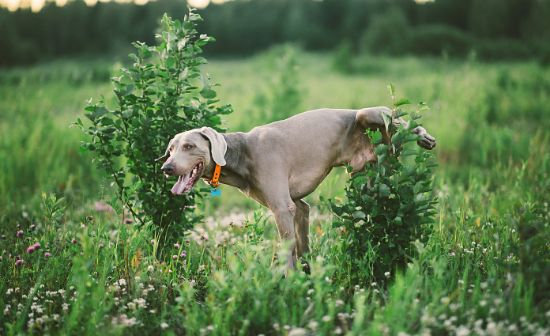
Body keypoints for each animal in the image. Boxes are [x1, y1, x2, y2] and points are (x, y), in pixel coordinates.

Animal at [157, 106, 438, 270]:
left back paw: (423, 135)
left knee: (400, 121)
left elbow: (287, 251)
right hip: (366, 168)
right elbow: (302, 247)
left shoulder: (283, 208)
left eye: (189, 146)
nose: (166, 168)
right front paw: (307, 278)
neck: (241, 155)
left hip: (369, 114)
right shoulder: (299, 207)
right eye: (170, 149)